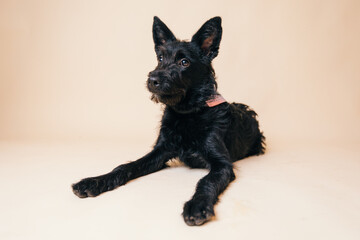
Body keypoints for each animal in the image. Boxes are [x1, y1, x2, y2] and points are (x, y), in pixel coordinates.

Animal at [72, 15, 264, 226]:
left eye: (184, 62)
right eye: (161, 58)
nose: (152, 80)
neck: (187, 113)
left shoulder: (222, 164)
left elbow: (206, 181)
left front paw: (197, 205)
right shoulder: (160, 151)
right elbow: (126, 166)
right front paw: (95, 181)